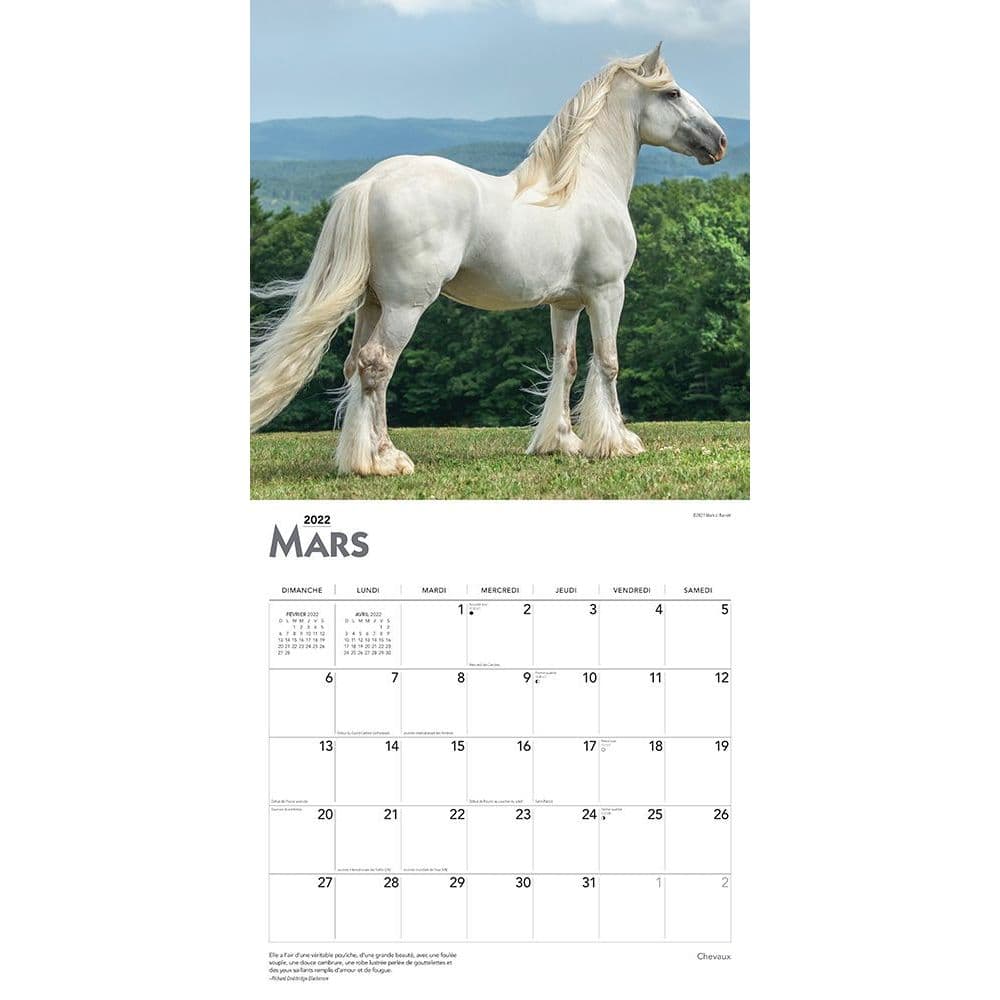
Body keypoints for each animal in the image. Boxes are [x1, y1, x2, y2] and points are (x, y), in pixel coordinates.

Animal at [250, 43, 727, 476]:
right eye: (672, 93)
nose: (719, 141)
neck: (586, 185)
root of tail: (370, 183)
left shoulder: (566, 304)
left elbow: (567, 365)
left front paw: (561, 441)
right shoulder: (608, 293)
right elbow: (608, 363)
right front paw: (617, 442)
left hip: (372, 304)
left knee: (353, 366)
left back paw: (358, 460)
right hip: (405, 306)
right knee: (376, 365)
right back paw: (386, 459)